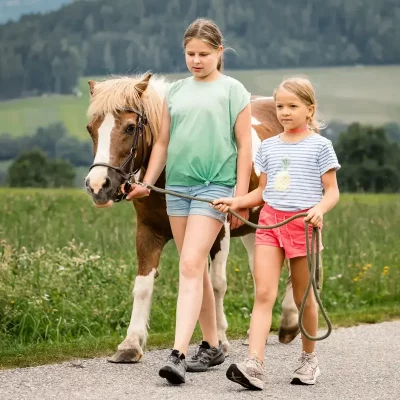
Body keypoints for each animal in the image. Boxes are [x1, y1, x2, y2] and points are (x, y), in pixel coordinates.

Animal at [84, 72, 300, 362]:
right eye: (91, 128)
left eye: (130, 127)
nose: (98, 186)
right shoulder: (148, 231)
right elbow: (143, 286)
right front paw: (130, 344)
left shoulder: (220, 232)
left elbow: (217, 284)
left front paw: (220, 339)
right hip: (254, 230)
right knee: (261, 274)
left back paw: (290, 322)